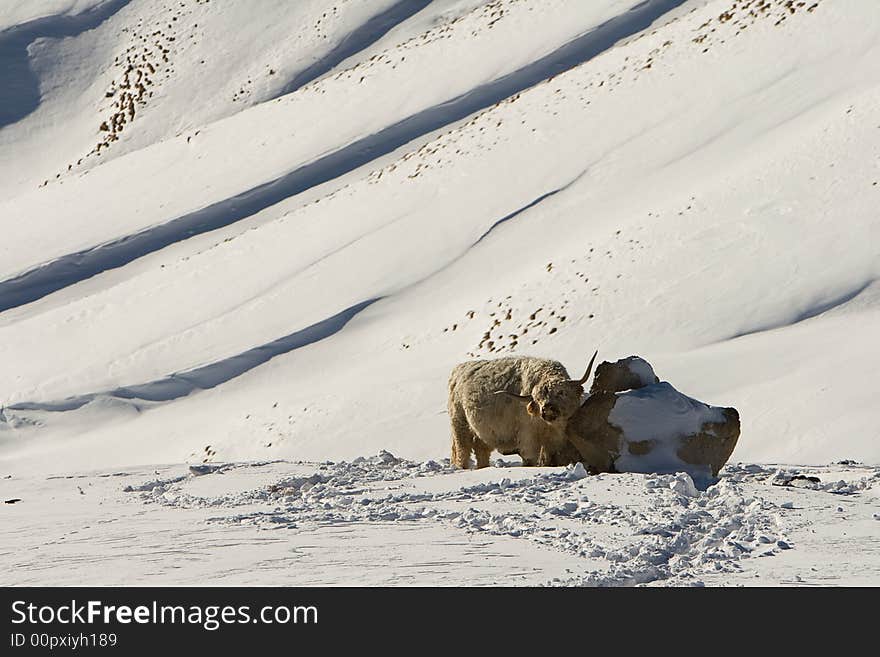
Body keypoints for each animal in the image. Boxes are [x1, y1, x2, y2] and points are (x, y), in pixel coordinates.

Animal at [446, 352, 600, 468]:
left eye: (561, 392)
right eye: (538, 399)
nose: (546, 409)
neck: (549, 427)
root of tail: (457, 371)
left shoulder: (552, 441)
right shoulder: (528, 437)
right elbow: (530, 458)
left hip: (480, 433)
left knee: (481, 451)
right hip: (460, 424)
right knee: (463, 450)